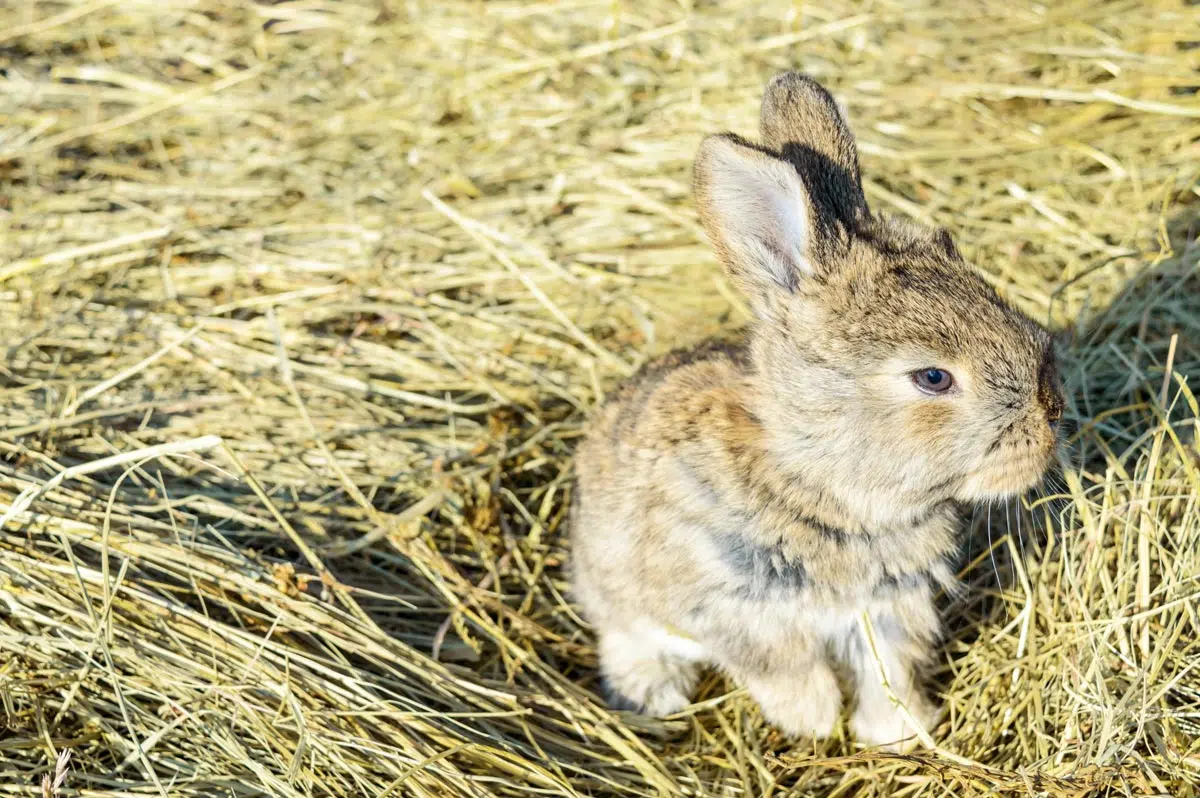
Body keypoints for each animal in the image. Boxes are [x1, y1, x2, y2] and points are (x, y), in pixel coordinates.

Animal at [566, 71, 1065, 748]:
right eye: (933, 378)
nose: (1052, 416)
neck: (814, 477)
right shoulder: (733, 609)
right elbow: (786, 670)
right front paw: (814, 721)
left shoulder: (886, 610)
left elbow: (889, 673)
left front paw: (898, 732)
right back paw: (652, 695)